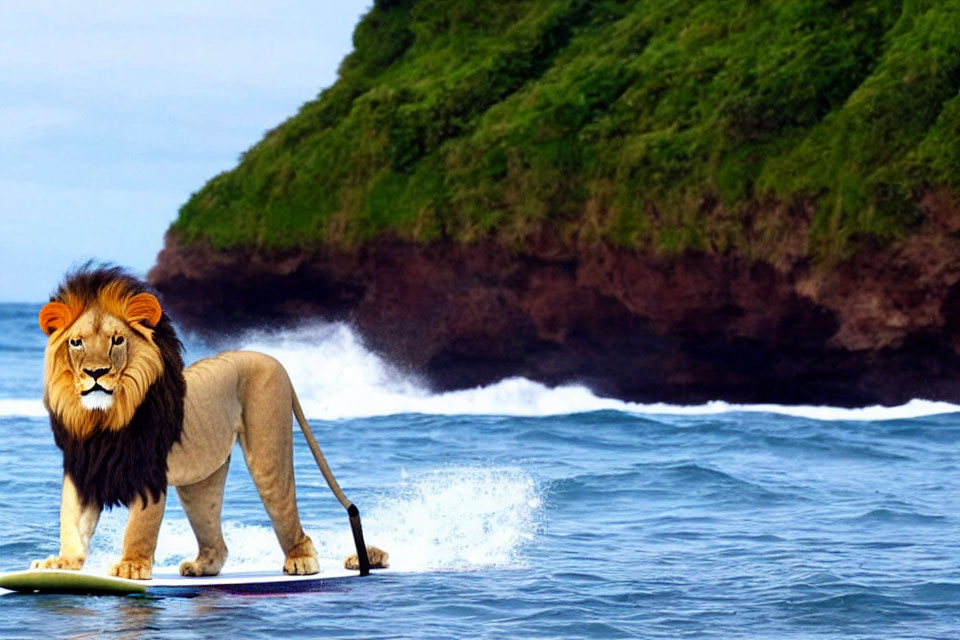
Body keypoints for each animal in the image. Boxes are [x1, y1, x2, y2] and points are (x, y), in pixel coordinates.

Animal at [31, 264, 388, 580]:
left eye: (117, 340)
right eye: (76, 342)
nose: (95, 372)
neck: (101, 419)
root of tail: (275, 359)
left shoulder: (149, 475)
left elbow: (138, 527)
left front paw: (131, 567)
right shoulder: (83, 470)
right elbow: (71, 523)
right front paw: (60, 563)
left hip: (268, 452)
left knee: (285, 509)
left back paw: (301, 561)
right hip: (201, 480)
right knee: (214, 532)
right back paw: (202, 567)